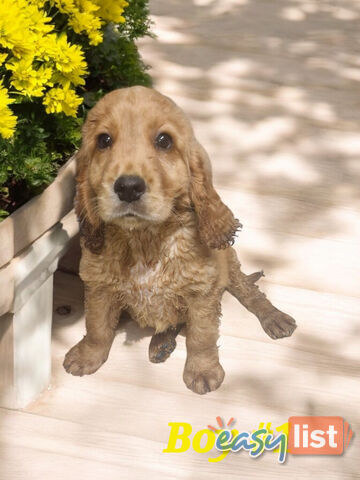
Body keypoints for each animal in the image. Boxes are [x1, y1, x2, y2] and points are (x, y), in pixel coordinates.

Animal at [63, 86, 296, 394]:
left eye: (164, 140)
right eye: (104, 140)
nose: (128, 187)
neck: (145, 239)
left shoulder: (202, 294)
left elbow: (201, 336)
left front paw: (203, 371)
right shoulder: (99, 286)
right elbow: (96, 326)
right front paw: (87, 355)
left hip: (230, 264)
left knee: (250, 292)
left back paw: (274, 317)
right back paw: (160, 344)